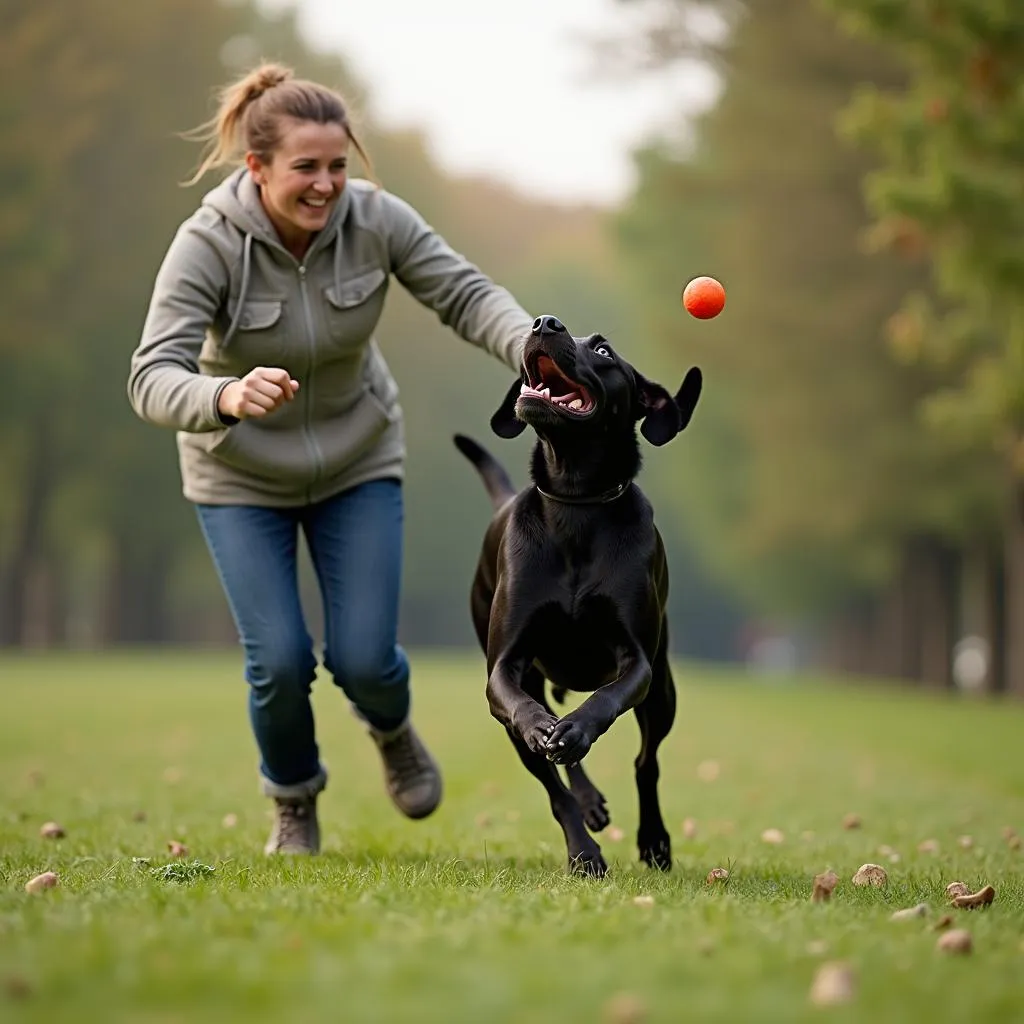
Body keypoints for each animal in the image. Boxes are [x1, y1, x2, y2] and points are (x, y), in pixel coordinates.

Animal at [452, 315, 700, 876]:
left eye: (604, 350)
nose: (544, 323)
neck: (575, 500)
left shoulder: (638, 662)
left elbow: (606, 700)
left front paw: (575, 729)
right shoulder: (505, 669)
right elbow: (541, 755)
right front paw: (584, 853)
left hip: (664, 692)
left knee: (646, 762)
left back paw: (654, 841)